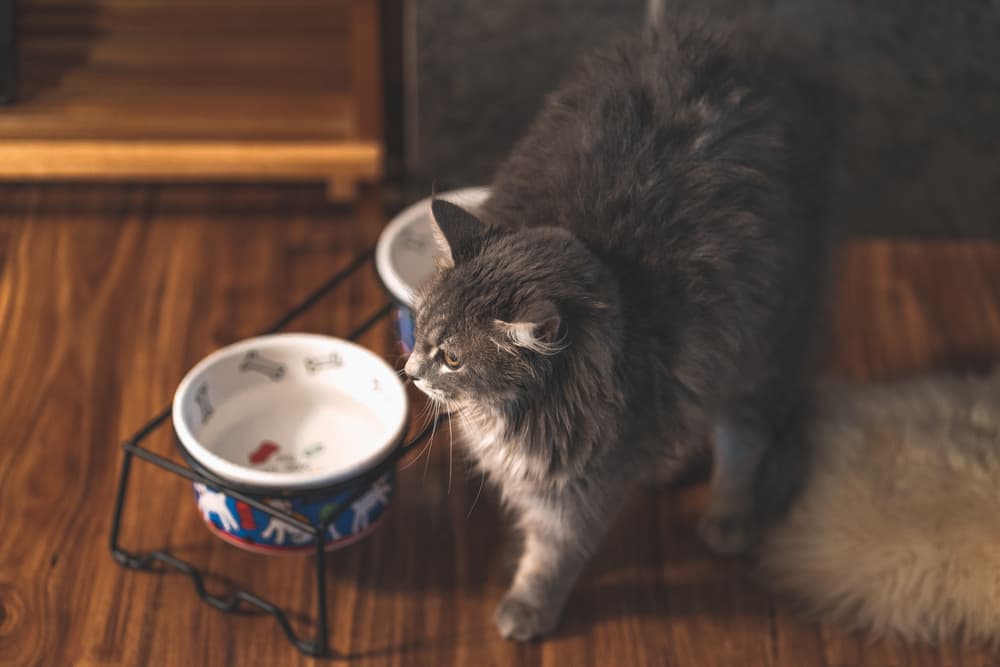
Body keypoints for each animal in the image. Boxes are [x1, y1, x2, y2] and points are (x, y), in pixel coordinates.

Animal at [404, 15, 836, 640]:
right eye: (420, 328)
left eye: (453, 358)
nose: (411, 370)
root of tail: (729, 44)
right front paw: (514, 559)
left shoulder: (580, 487)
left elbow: (553, 554)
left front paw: (526, 607)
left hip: (763, 342)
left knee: (744, 437)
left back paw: (727, 519)